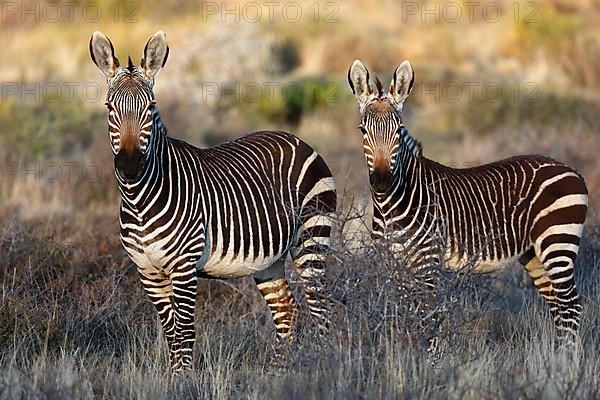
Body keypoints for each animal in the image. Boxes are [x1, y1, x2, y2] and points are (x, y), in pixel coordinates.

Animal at [88, 31, 338, 372]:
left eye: (150, 107)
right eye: (109, 107)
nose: (129, 166)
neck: (139, 200)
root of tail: (297, 139)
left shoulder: (183, 266)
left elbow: (184, 330)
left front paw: (184, 379)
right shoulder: (148, 270)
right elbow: (170, 331)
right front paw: (173, 376)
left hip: (311, 238)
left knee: (319, 306)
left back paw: (321, 366)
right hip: (269, 259)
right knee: (287, 309)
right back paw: (277, 372)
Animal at [350, 57, 588, 346]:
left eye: (398, 131)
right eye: (363, 130)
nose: (382, 181)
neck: (389, 206)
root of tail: (570, 169)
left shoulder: (427, 263)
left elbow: (426, 317)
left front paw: (426, 357)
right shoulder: (393, 265)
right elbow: (403, 315)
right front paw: (402, 353)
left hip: (558, 243)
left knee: (571, 305)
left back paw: (567, 357)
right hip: (534, 254)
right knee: (559, 308)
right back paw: (558, 353)